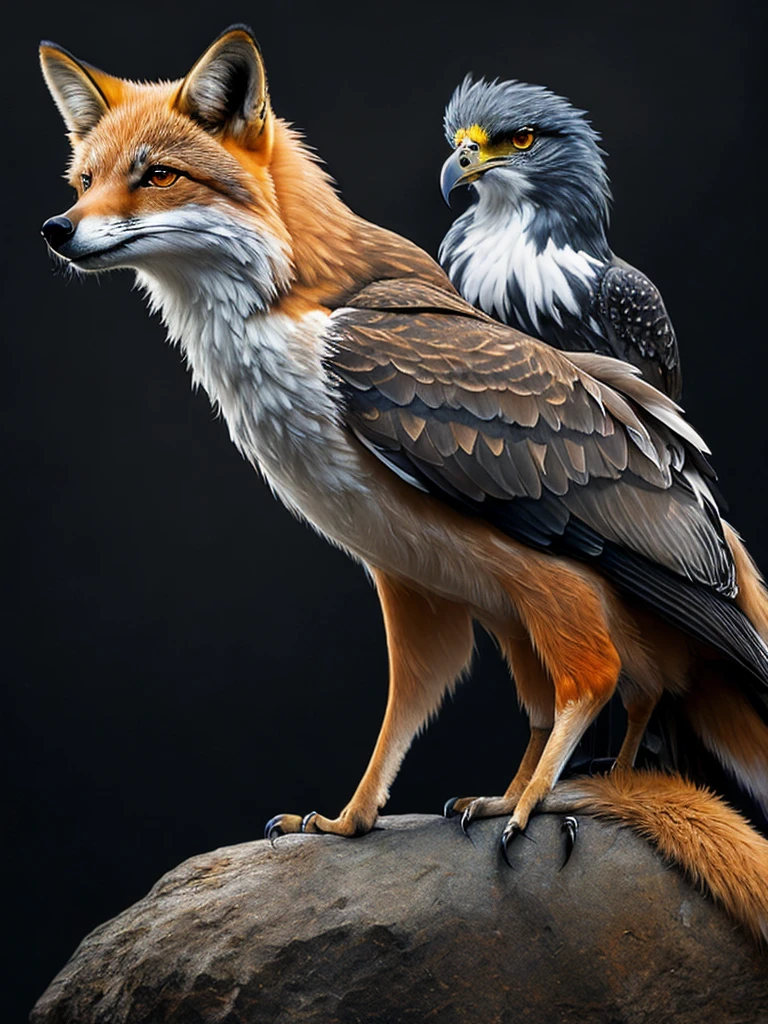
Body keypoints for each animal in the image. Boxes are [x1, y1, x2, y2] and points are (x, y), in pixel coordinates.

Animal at [40, 26, 768, 944]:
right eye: (82, 181)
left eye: (159, 174)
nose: (58, 228)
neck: (286, 307)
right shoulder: (411, 573)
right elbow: (410, 707)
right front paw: (353, 820)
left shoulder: (539, 584)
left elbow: (573, 693)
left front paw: (530, 803)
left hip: (592, 585)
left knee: (600, 684)